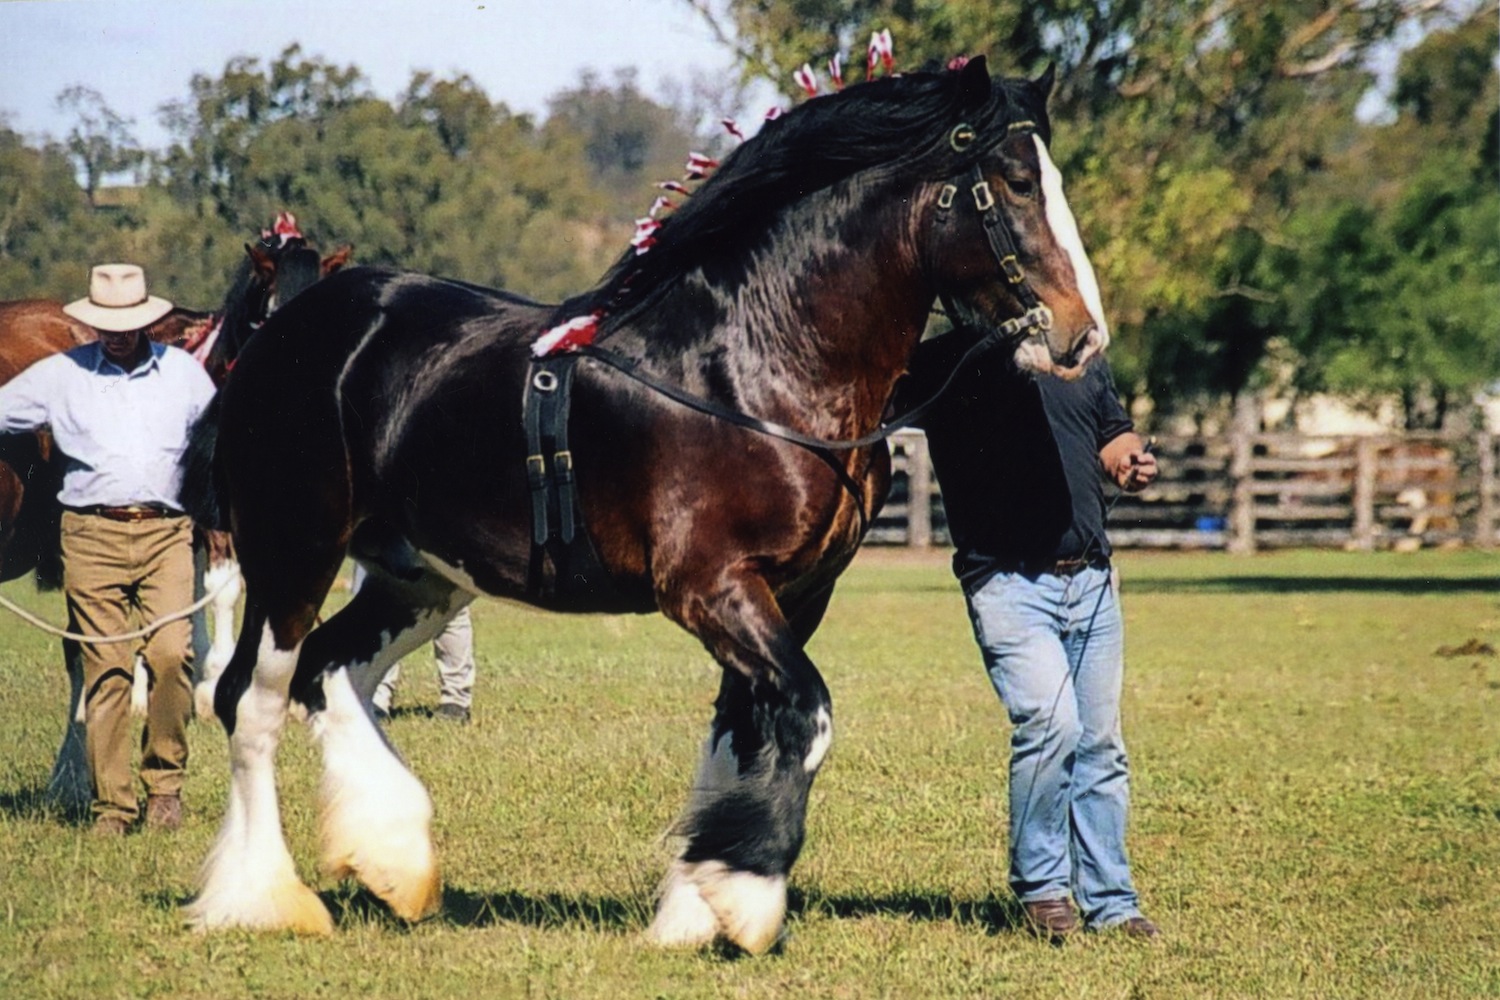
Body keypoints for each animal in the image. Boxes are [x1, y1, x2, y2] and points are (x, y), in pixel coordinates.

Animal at [178, 56, 1116, 953]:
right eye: (1015, 181)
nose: (1082, 335)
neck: (754, 366)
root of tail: (284, 335)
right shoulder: (709, 587)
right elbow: (805, 716)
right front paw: (746, 895)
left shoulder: (794, 596)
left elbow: (744, 733)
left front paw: (692, 908)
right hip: (293, 553)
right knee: (252, 702)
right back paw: (258, 899)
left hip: (421, 576)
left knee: (332, 668)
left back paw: (391, 860)